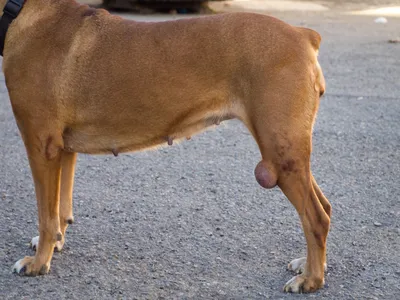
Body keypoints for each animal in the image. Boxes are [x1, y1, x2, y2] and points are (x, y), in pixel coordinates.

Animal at [1, 0, 330, 292]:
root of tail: (303, 34)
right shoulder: (64, 150)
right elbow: (60, 208)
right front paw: (55, 245)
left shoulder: (42, 146)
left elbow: (46, 215)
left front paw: (38, 262)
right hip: (290, 154)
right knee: (323, 207)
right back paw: (309, 266)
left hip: (280, 156)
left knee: (316, 217)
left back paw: (310, 280)